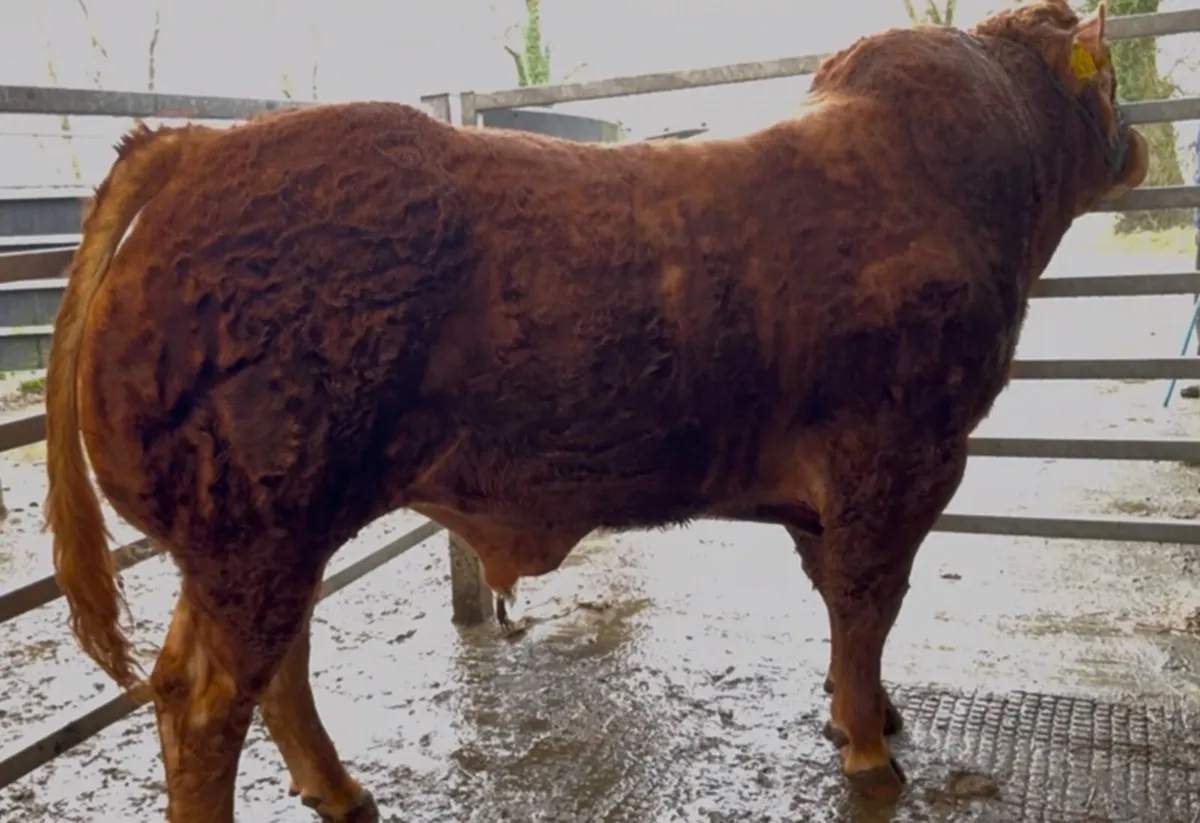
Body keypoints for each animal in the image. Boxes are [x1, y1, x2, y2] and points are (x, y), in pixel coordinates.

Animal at [45, 0, 1145, 819]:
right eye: (1109, 80)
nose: (1137, 142)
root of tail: (195, 147)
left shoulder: (832, 485)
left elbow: (842, 603)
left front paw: (860, 711)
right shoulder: (904, 454)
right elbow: (869, 598)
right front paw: (871, 751)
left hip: (270, 533)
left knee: (276, 666)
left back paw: (341, 788)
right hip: (256, 529)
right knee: (200, 702)